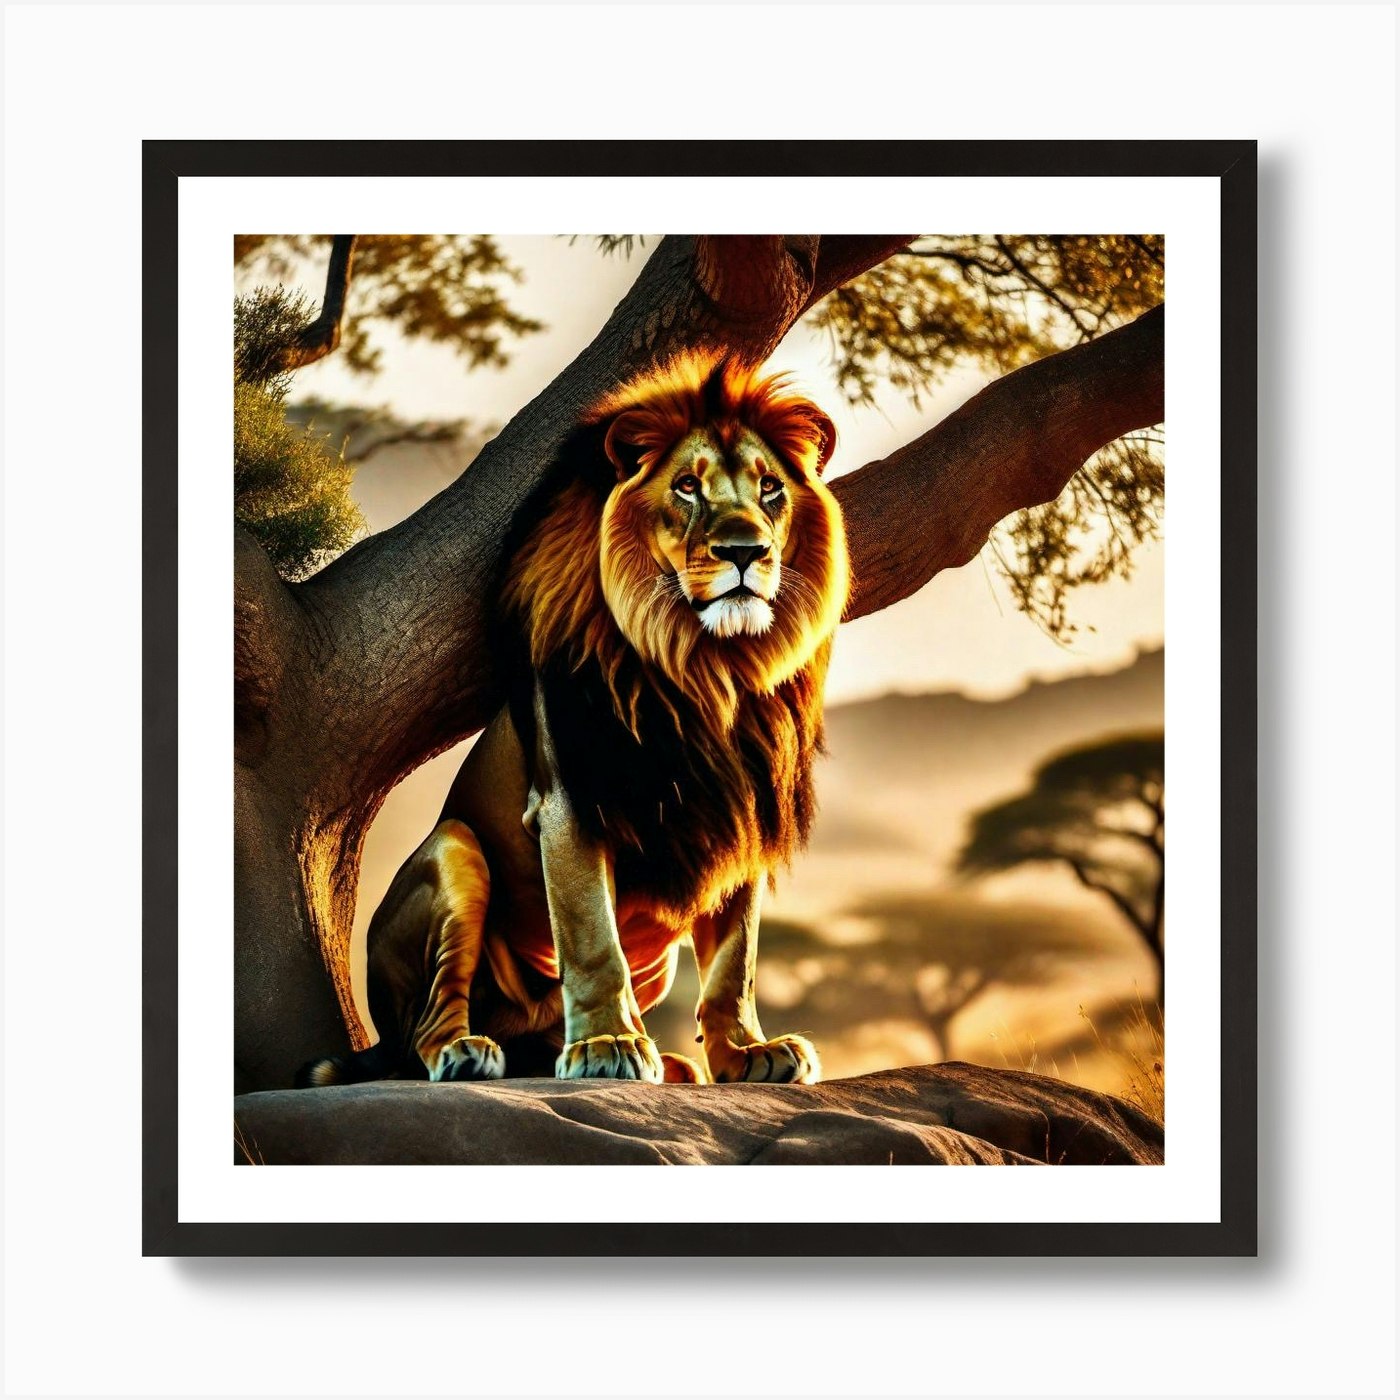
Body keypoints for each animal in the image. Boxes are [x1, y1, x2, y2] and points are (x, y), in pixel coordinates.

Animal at [297, 354, 849, 1088]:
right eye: (687, 487)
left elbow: (737, 960)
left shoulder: (744, 813)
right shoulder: (571, 802)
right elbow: (592, 939)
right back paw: (468, 1051)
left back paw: (671, 1062)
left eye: (769, 489)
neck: (709, 667)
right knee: (422, 1031)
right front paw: (605, 1045)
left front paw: (745, 1053)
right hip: (455, 850)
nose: (746, 551)